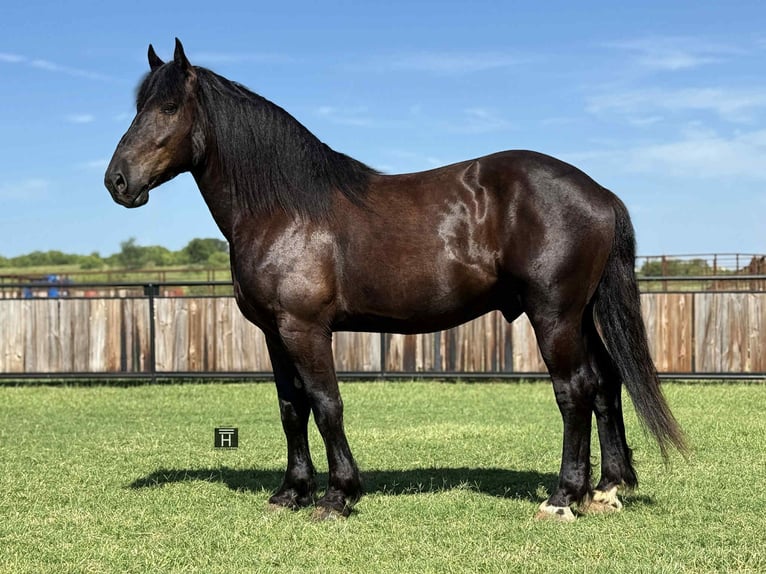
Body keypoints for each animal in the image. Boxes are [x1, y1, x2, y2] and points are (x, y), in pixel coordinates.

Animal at [105, 39, 686, 521]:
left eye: (168, 107)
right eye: (138, 106)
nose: (117, 181)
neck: (285, 210)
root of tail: (599, 193)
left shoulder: (304, 329)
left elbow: (326, 404)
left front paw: (338, 496)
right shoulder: (273, 333)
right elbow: (292, 408)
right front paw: (291, 493)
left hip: (555, 315)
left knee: (575, 389)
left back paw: (563, 497)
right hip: (582, 315)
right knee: (607, 383)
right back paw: (607, 489)